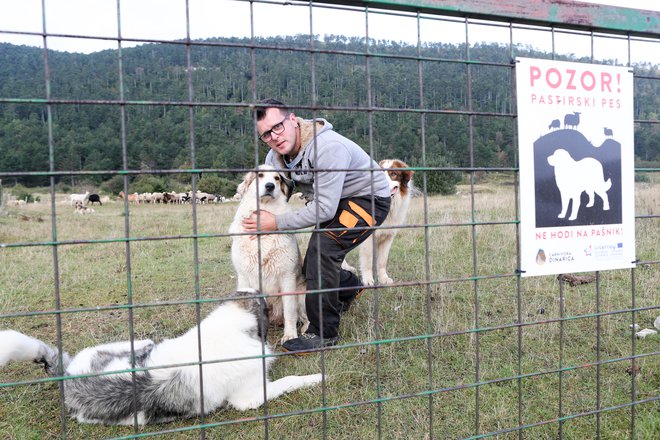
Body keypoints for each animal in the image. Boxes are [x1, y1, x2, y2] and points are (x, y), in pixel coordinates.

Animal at [229, 165, 310, 344]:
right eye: (259, 175)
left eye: (277, 178)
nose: (270, 186)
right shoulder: (244, 276)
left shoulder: (287, 277)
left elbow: (290, 312)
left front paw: (290, 335)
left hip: (303, 294)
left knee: (305, 317)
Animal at [342, 158, 416, 286]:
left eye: (393, 174)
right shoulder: (368, 238)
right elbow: (367, 261)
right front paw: (367, 280)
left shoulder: (388, 237)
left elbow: (382, 261)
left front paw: (383, 279)